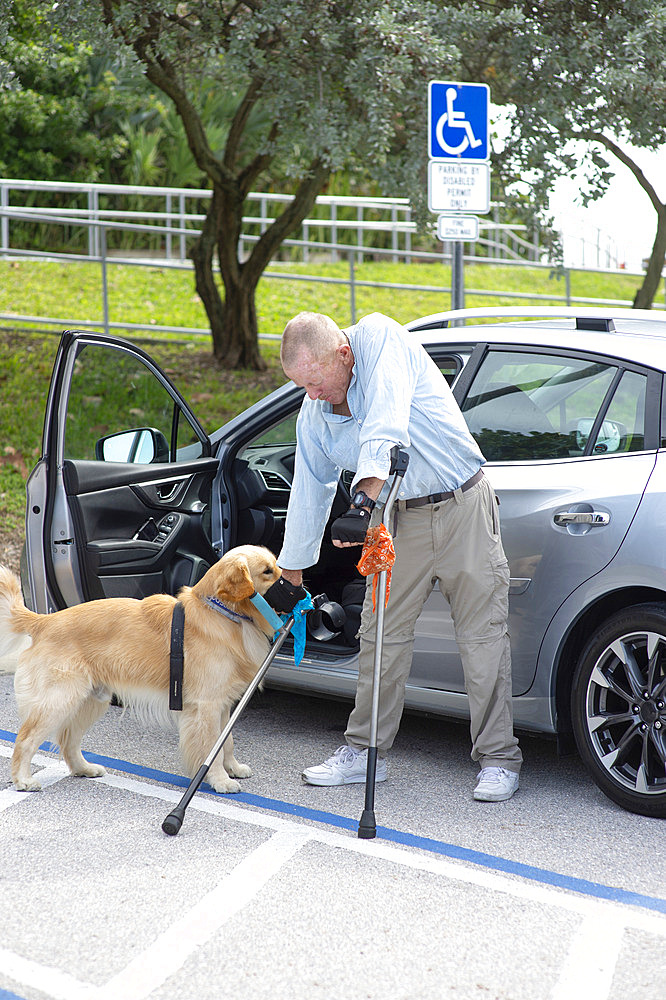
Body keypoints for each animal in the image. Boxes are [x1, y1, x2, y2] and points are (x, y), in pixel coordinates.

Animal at [0, 544, 280, 792]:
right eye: (267, 571)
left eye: (277, 566)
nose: (293, 583)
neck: (223, 613)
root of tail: (44, 621)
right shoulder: (207, 705)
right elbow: (212, 748)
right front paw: (221, 780)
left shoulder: (222, 704)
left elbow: (227, 742)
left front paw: (233, 768)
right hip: (59, 700)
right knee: (26, 739)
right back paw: (23, 780)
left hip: (90, 700)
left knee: (68, 740)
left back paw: (84, 768)